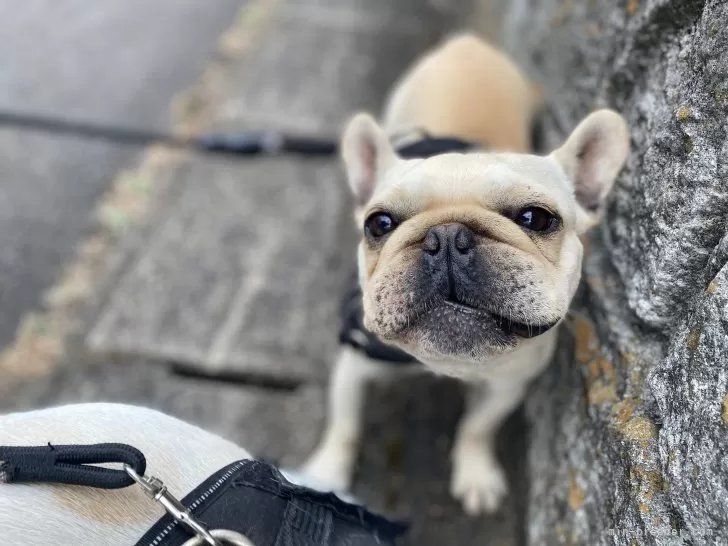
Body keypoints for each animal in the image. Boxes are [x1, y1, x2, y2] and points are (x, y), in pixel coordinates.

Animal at [301, 32, 629, 515]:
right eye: (379, 224)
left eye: (535, 218)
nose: (447, 238)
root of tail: (467, 43)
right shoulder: (354, 361)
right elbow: (344, 423)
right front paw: (326, 475)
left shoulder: (508, 385)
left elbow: (478, 426)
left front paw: (475, 473)